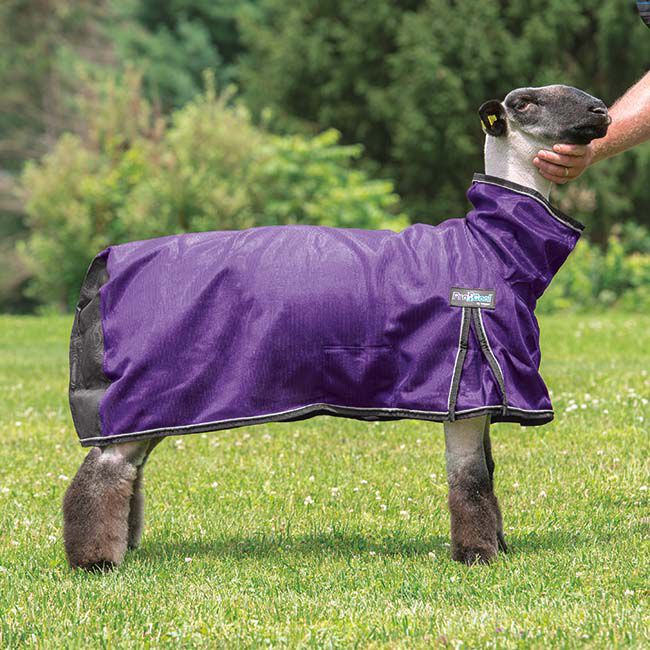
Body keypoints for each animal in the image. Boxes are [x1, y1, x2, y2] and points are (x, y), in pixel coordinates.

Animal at [63, 84, 610, 570]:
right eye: (526, 103)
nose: (601, 111)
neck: (491, 246)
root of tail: (106, 265)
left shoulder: (485, 393)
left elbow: (489, 476)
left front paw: (498, 546)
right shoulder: (467, 385)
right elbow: (471, 481)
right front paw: (478, 557)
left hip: (156, 403)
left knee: (129, 469)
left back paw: (125, 545)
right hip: (144, 389)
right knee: (102, 473)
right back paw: (94, 561)